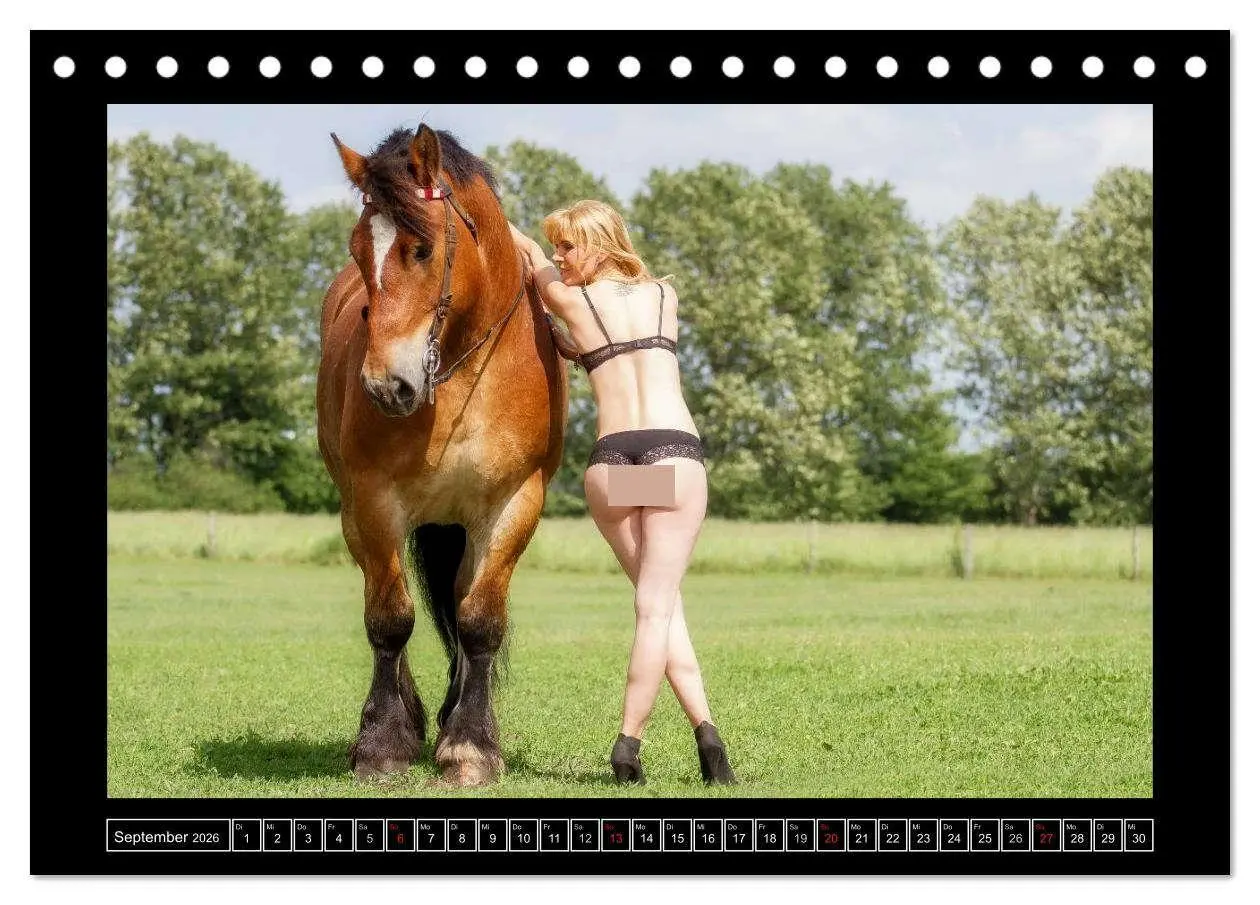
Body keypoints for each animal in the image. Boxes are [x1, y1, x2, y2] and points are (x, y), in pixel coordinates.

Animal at [316, 122, 568, 785]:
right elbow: (389, 618)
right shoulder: (374, 501)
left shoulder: (513, 504)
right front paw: (383, 743)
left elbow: (478, 621)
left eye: (423, 249)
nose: (385, 386)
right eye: (359, 250)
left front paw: (471, 746)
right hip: (357, 517)